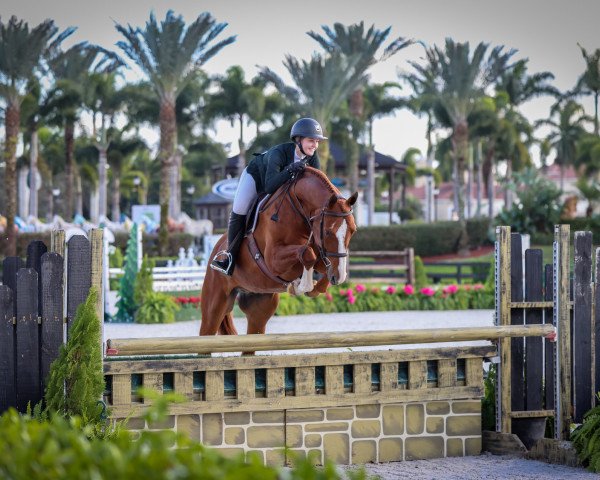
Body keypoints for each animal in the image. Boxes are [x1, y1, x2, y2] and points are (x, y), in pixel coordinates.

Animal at [200, 168, 356, 338]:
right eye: (327, 232)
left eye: (353, 231)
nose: (339, 277)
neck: (297, 210)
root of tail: (217, 247)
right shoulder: (273, 260)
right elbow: (307, 254)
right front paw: (301, 286)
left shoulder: (324, 256)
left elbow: (320, 262)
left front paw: (314, 287)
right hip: (214, 307)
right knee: (208, 328)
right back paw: (223, 264)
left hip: (259, 305)